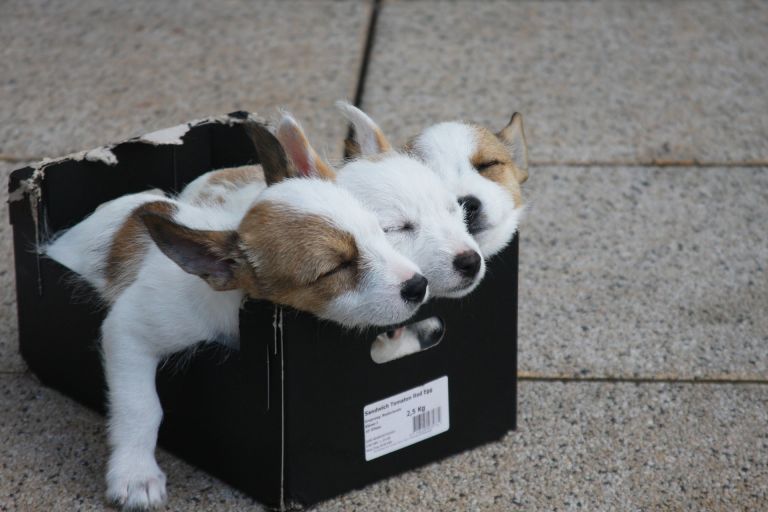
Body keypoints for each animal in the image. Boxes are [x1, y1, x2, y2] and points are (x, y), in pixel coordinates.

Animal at [43, 122, 426, 510]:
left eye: (378, 231)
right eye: (335, 269)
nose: (418, 286)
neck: (235, 309)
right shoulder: (129, 330)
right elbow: (141, 406)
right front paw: (135, 474)